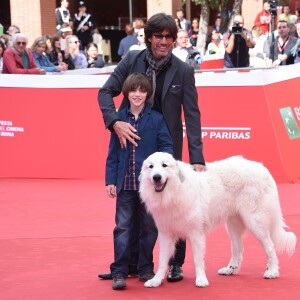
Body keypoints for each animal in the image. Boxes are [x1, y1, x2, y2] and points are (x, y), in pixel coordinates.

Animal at [139, 152, 296, 288]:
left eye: (164, 165)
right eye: (151, 167)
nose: (156, 177)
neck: (174, 191)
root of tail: (263, 168)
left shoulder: (196, 233)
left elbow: (197, 259)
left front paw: (201, 280)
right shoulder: (165, 234)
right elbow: (162, 260)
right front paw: (156, 280)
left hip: (255, 221)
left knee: (270, 246)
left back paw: (272, 271)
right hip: (233, 224)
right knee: (238, 248)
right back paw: (230, 269)